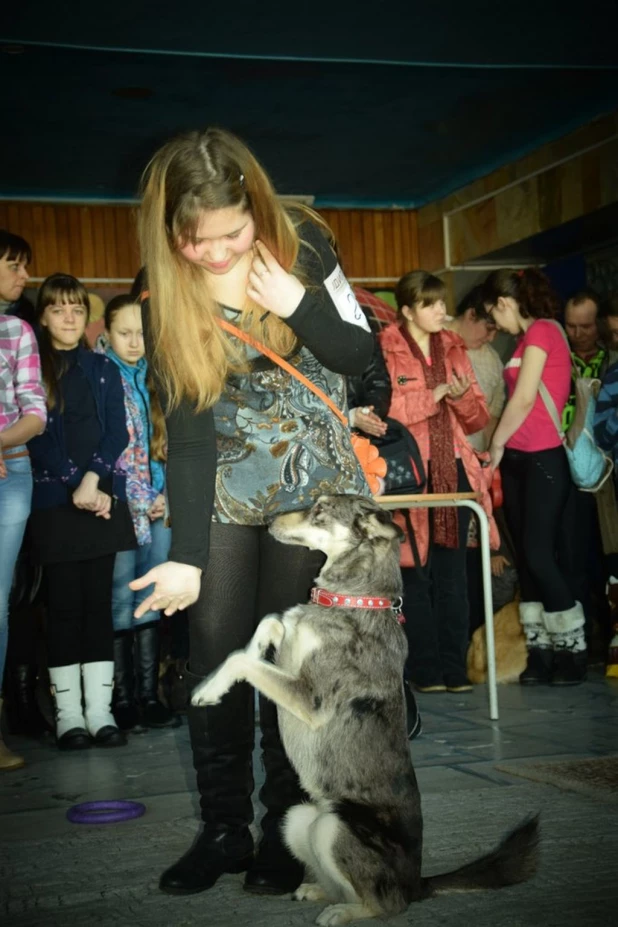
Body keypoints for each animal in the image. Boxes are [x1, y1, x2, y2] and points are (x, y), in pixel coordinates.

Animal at [190, 496, 536, 924]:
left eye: (320, 511)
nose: (268, 522)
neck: (352, 600)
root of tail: (417, 884)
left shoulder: (309, 699)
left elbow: (242, 658)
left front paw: (206, 690)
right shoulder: (289, 648)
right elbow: (270, 622)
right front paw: (240, 661)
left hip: (335, 829)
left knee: (385, 904)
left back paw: (343, 912)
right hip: (299, 818)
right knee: (343, 883)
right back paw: (317, 891)